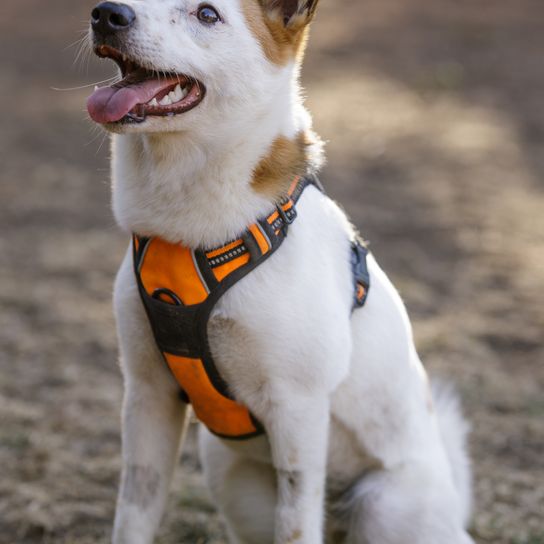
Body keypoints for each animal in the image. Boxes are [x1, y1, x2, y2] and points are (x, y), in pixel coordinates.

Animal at [87, 0, 474, 540]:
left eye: (207, 14)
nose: (107, 15)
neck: (189, 237)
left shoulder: (297, 408)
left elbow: (296, 521)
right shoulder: (148, 394)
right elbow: (134, 513)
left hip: (384, 506)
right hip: (228, 473)